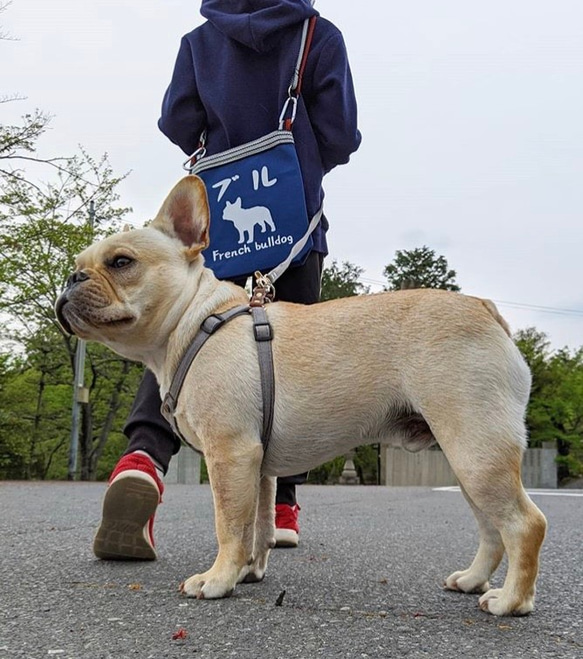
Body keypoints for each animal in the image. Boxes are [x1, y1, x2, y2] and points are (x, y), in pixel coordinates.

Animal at [56, 177, 548, 620]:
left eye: (121, 262)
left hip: (476, 451)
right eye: (77, 264)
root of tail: (485, 309)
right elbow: (256, 525)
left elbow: (228, 524)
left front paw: (217, 580)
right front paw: (247, 572)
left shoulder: (230, 453)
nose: (72, 277)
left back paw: (511, 601)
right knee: (491, 528)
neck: (195, 319)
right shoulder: (255, 465)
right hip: (467, 460)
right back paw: (472, 580)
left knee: (525, 524)